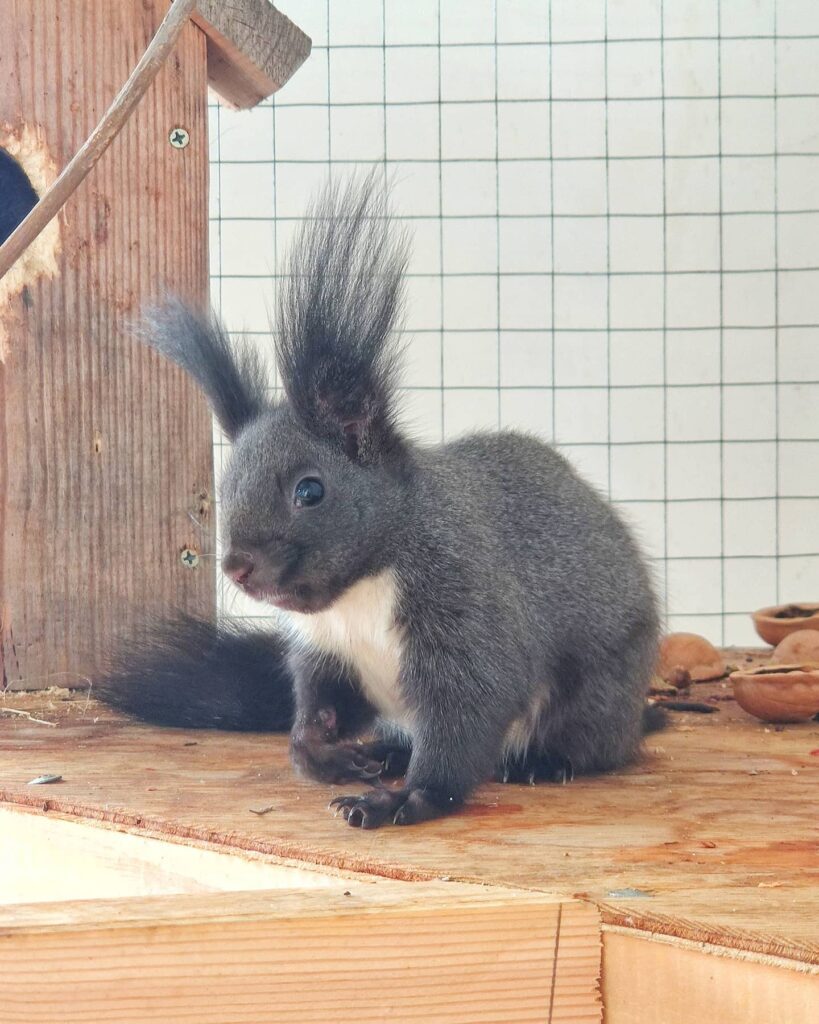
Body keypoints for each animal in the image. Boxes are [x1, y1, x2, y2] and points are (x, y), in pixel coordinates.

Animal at [98, 177, 663, 828]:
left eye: (310, 490)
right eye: (225, 485)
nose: (237, 567)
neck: (358, 590)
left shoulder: (464, 609)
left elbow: (466, 717)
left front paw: (405, 800)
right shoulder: (324, 655)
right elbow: (319, 708)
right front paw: (322, 753)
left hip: (598, 693)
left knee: (590, 743)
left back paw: (543, 761)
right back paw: (385, 753)